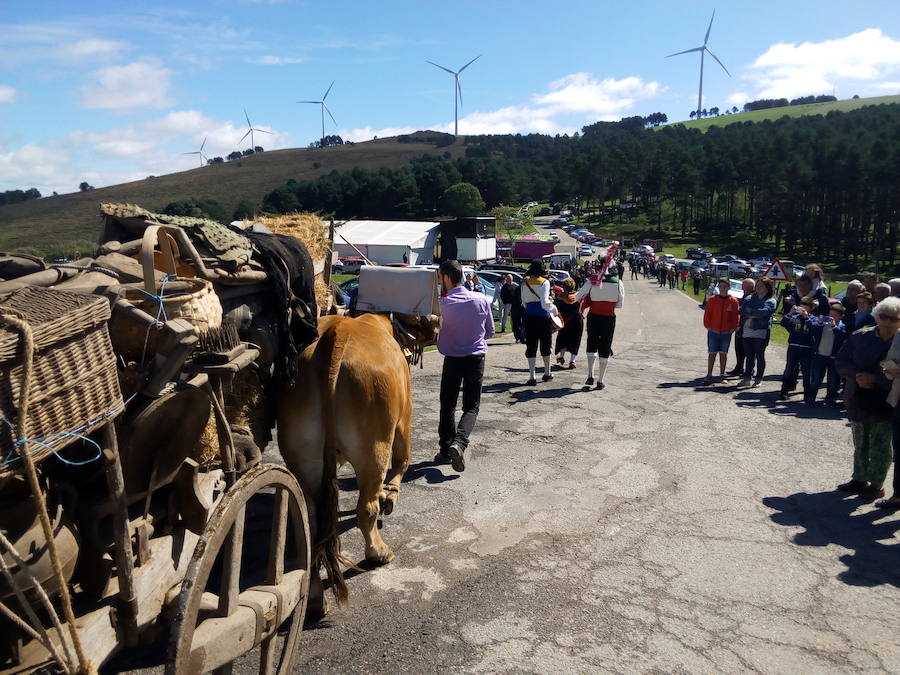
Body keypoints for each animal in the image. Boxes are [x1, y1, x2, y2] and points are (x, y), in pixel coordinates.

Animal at [280, 312, 438, 616]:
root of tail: (337, 332)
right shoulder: (404, 418)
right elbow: (403, 461)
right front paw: (390, 496)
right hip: (374, 445)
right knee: (366, 507)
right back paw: (379, 552)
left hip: (302, 454)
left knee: (312, 523)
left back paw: (315, 598)